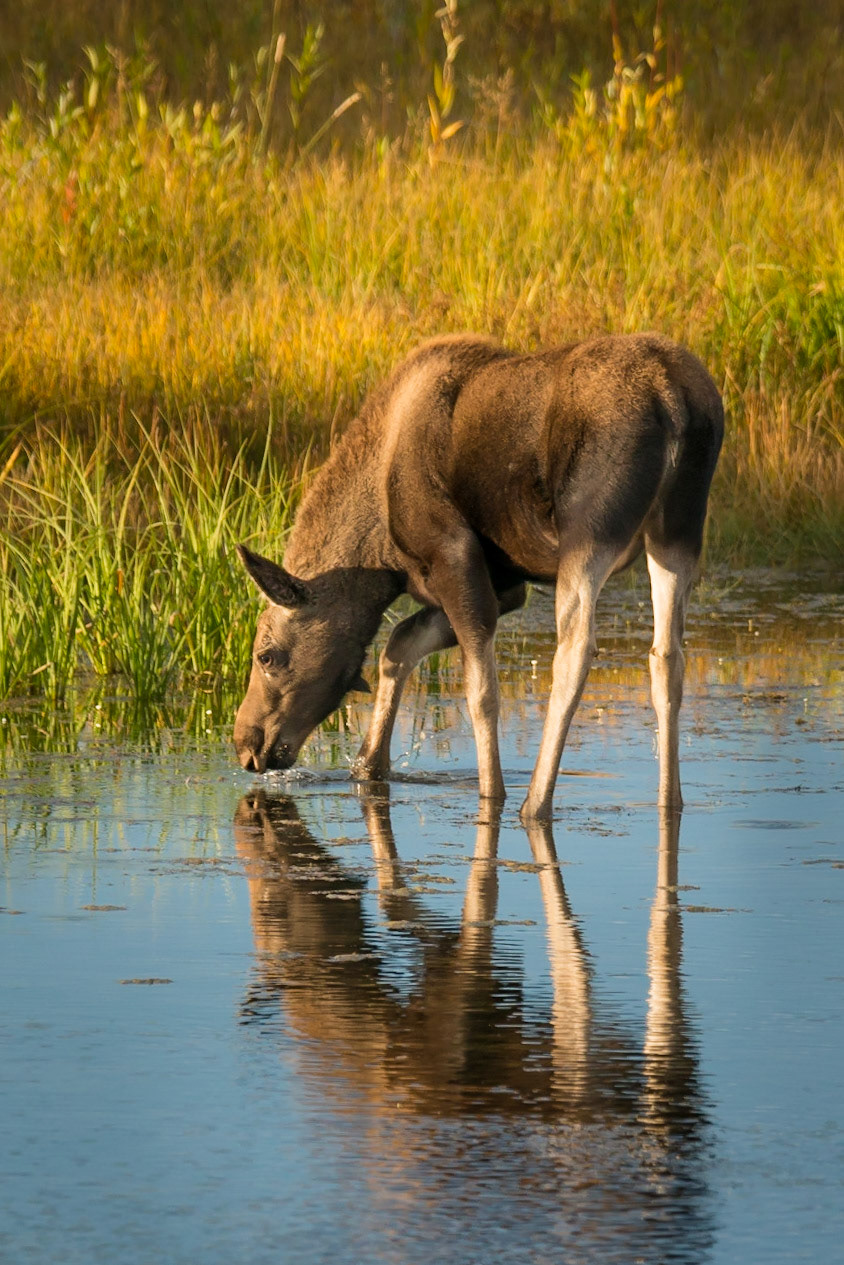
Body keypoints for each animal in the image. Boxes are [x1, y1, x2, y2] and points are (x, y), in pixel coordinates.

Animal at [233, 333, 723, 821]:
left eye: (266, 656)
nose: (245, 745)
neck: (380, 550)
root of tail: (671, 396)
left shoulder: (453, 554)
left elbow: (479, 689)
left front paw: (492, 792)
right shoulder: (507, 585)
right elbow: (399, 645)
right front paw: (369, 763)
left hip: (589, 529)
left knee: (576, 648)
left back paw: (535, 801)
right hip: (679, 528)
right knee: (667, 655)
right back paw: (670, 799)